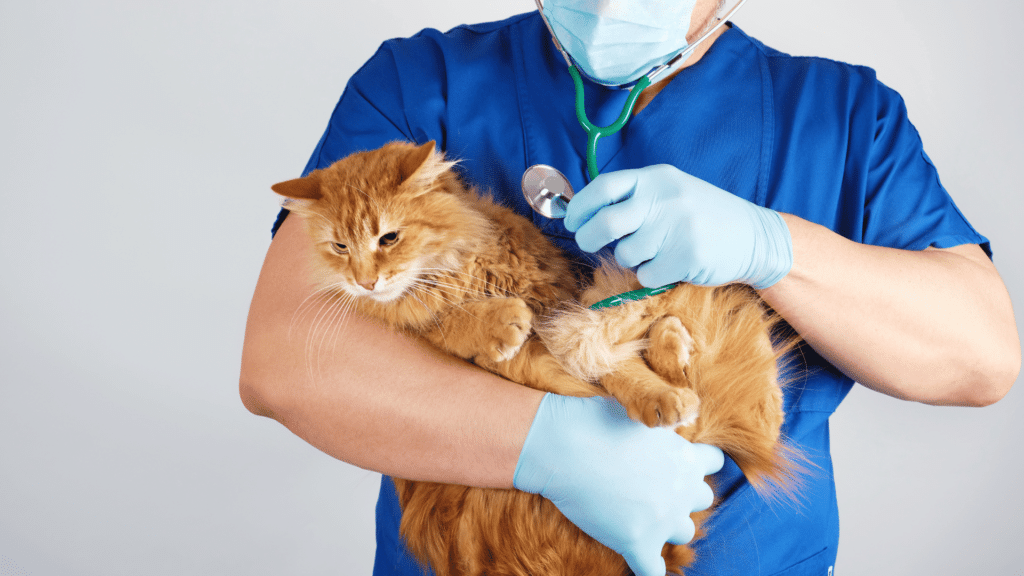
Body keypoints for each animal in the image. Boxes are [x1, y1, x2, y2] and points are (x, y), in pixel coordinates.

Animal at [272, 139, 798, 573]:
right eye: (340, 247)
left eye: (388, 238)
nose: (364, 282)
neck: (457, 272)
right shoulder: (478, 345)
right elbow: (466, 327)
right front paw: (499, 322)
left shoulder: (558, 308)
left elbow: (619, 369)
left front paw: (657, 394)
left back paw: (672, 346)